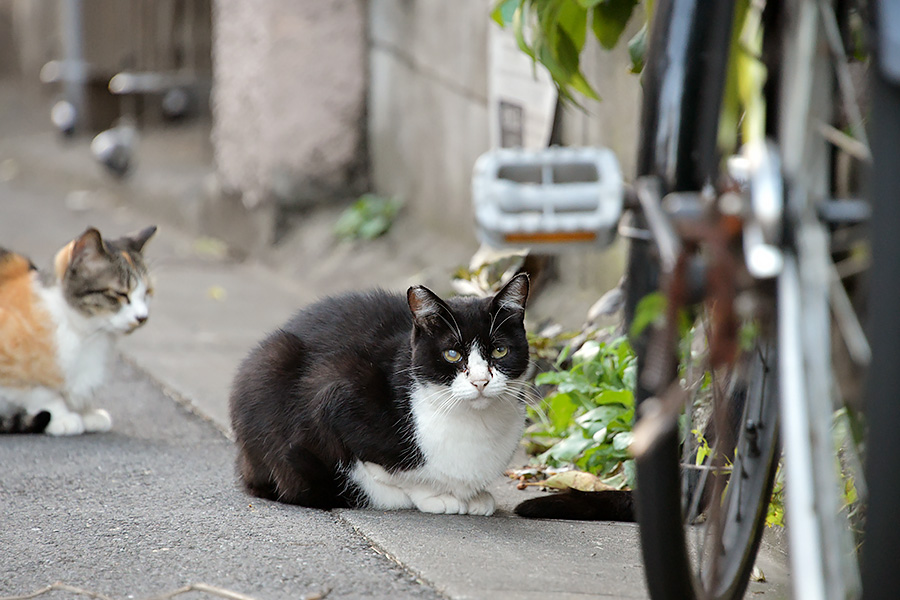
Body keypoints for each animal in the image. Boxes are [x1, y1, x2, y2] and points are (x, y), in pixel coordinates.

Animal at [0, 225, 156, 436]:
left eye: (147, 293)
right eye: (120, 294)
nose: (142, 317)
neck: (88, 334)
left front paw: (86, 413)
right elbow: (40, 392)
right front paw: (62, 416)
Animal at [229, 274, 532, 512]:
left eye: (500, 350)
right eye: (452, 354)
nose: (481, 381)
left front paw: (475, 497)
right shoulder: (335, 390)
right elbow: (392, 472)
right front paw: (436, 496)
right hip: (272, 361)